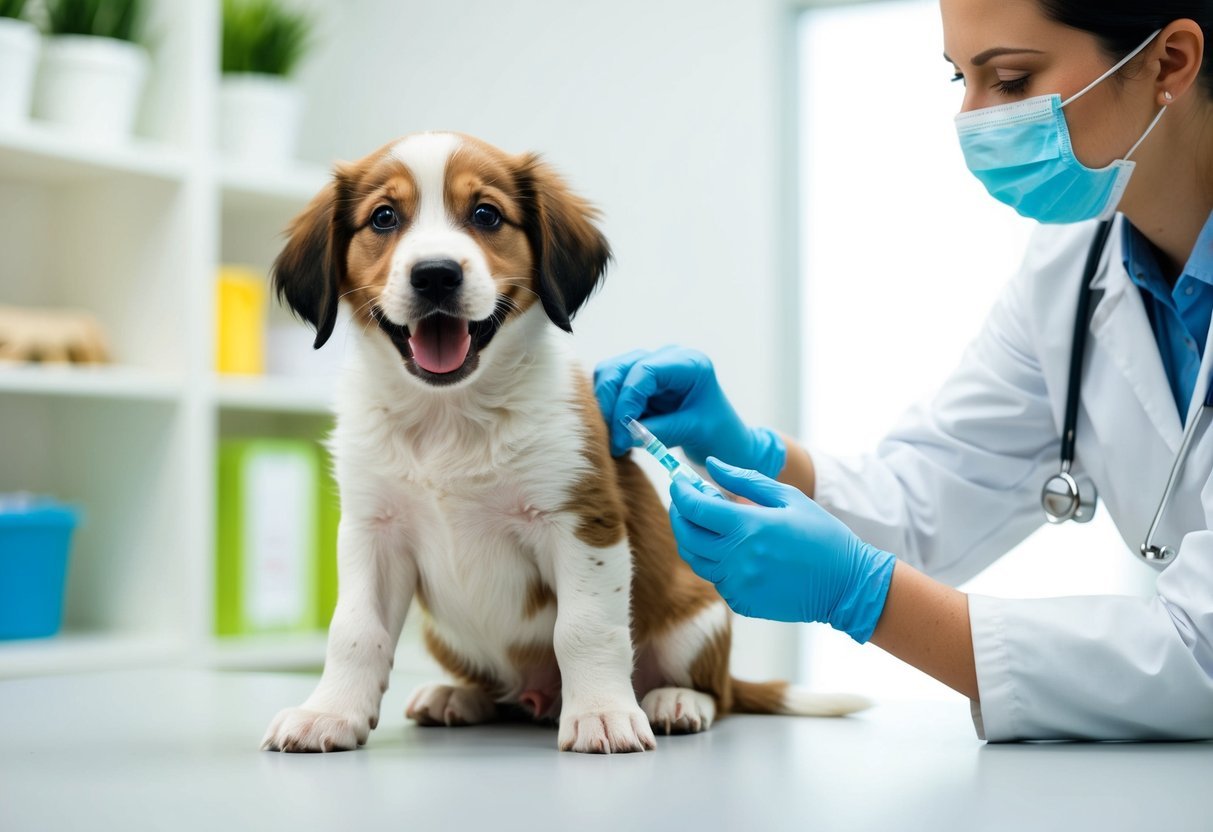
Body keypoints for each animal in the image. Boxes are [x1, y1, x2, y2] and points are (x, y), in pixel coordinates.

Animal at [260, 132, 868, 756]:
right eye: (383, 217)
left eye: (486, 214)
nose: (435, 275)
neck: (451, 416)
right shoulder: (372, 531)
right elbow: (355, 631)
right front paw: (329, 713)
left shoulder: (581, 520)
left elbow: (583, 629)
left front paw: (602, 713)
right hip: (446, 637)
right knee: (496, 692)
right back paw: (458, 695)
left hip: (698, 619)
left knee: (716, 694)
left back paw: (675, 701)